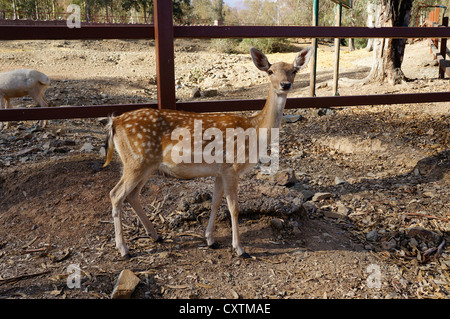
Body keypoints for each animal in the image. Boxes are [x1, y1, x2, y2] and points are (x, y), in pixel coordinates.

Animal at [103, 45, 312, 260]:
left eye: (294, 71)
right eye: (270, 71)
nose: (285, 84)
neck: (254, 129)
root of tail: (114, 122)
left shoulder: (220, 170)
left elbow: (215, 203)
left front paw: (211, 240)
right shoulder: (232, 167)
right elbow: (234, 208)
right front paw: (239, 248)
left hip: (145, 164)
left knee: (132, 195)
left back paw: (155, 236)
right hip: (136, 161)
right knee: (116, 194)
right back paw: (124, 249)